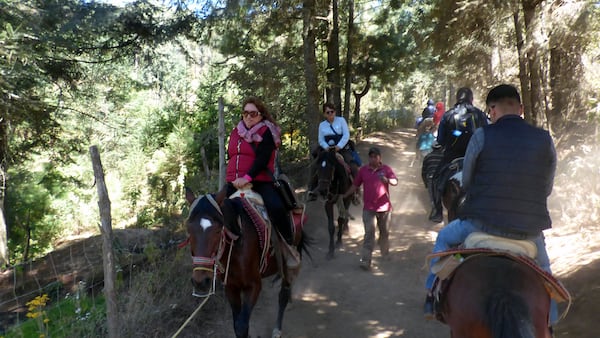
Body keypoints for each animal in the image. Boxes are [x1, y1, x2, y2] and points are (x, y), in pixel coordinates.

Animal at [183, 186, 308, 336]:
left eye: (218, 230)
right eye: (189, 230)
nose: (200, 281)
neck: (237, 246)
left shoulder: (254, 286)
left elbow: (242, 326)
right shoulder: (231, 287)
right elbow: (238, 325)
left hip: (289, 260)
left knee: (283, 294)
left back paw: (277, 329)